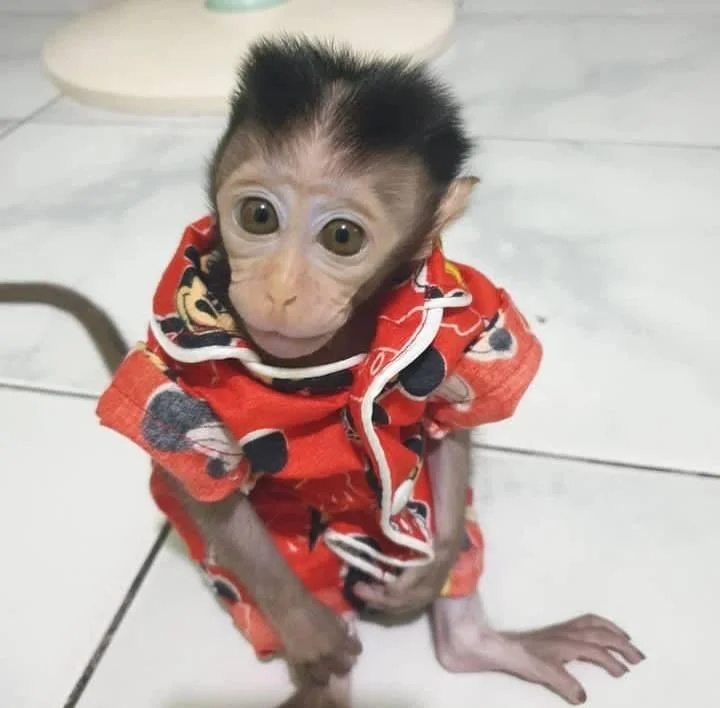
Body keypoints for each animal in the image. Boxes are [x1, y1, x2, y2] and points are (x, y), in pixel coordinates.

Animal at [94, 38, 644, 708]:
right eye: (258, 216)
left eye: (341, 235)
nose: (280, 290)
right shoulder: (175, 361)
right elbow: (202, 480)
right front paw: (311, 632)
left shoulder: (466, 303)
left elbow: (449, 420)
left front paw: (430, 571)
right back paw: (323, 678)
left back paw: (473, 638)